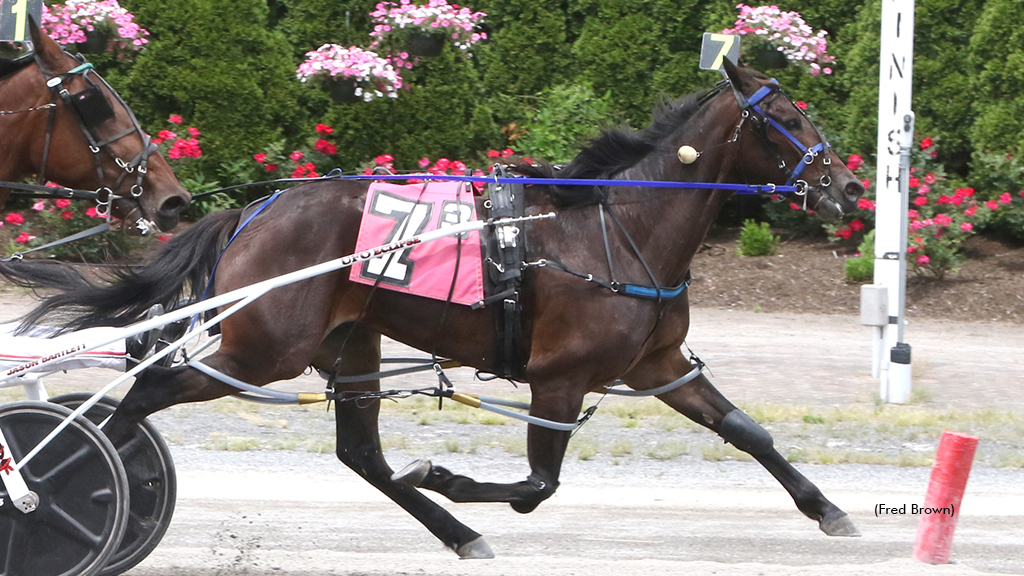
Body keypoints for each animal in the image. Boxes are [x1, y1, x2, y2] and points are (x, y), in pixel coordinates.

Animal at [18, 61, 864, 557]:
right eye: (791, 116)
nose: (850, 185)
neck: (614, 228)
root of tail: (256, 212)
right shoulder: (560, 377)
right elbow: (538, 485)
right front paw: (448, 474)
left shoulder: (657, 364)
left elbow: (747, 431)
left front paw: (828, 509)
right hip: (265, 349)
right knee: (143, 393)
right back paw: (57, 488)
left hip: (348, 343)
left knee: (360, 455)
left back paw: (459, 535)